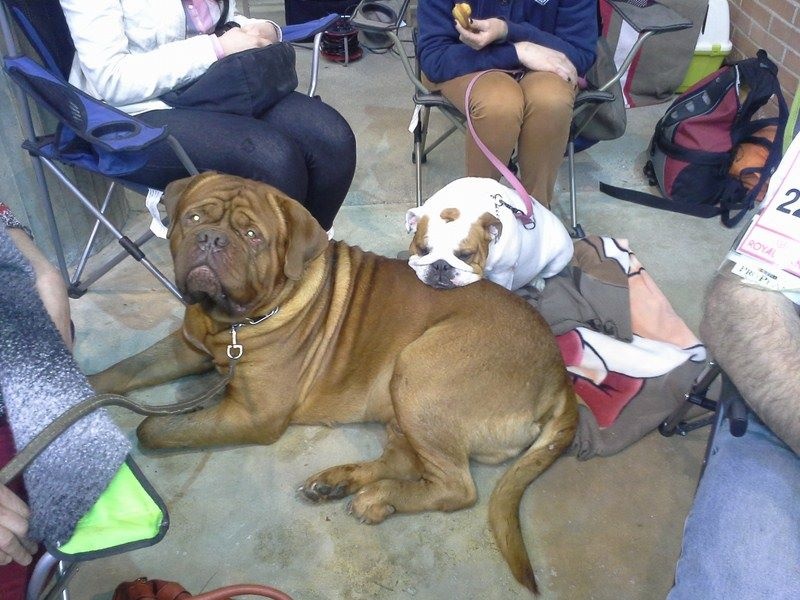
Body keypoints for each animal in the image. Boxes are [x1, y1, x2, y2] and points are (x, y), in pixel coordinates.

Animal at [405, 177, 574, 291]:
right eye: (423, 250)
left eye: (465, 255)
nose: (441, 265)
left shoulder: (502, 274)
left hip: (560, 258)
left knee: (546, 273)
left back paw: (537, 281)